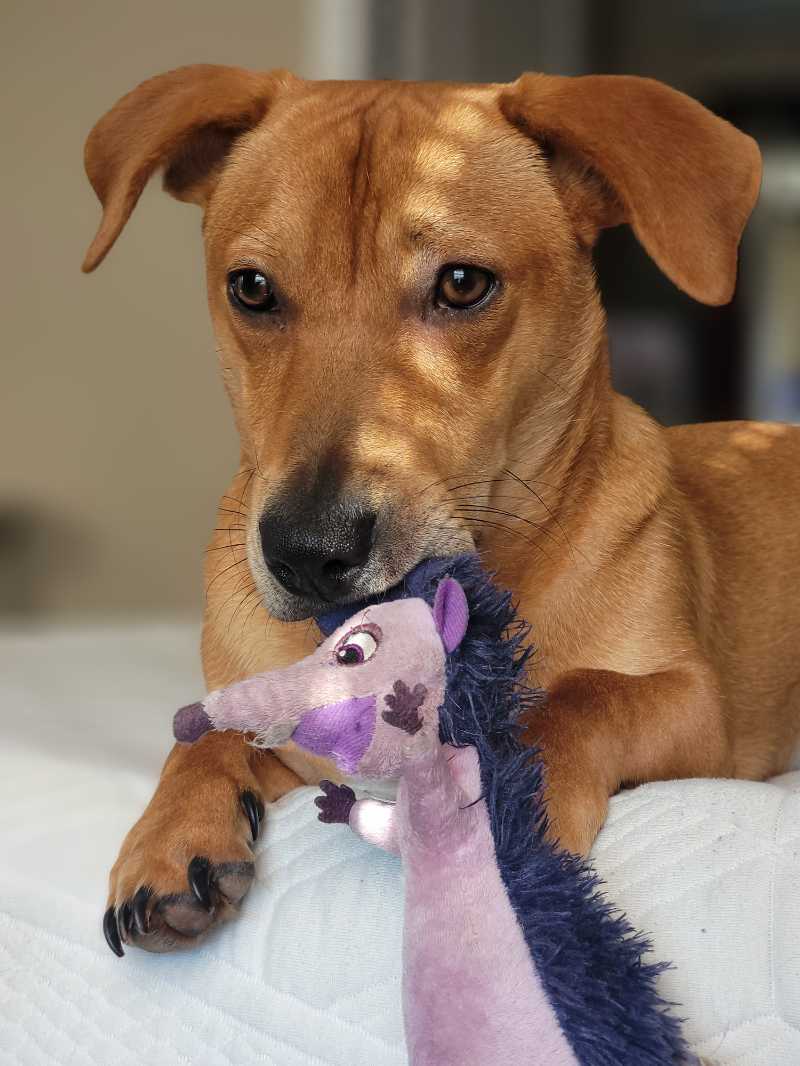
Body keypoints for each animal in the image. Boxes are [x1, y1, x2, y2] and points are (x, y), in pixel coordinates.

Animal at [84, 65, 800, 955]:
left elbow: (581, 695)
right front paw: (172, 832)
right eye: (250, 288)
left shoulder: (697, 707)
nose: (308, 552)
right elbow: (206, 733)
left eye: (462, 284)